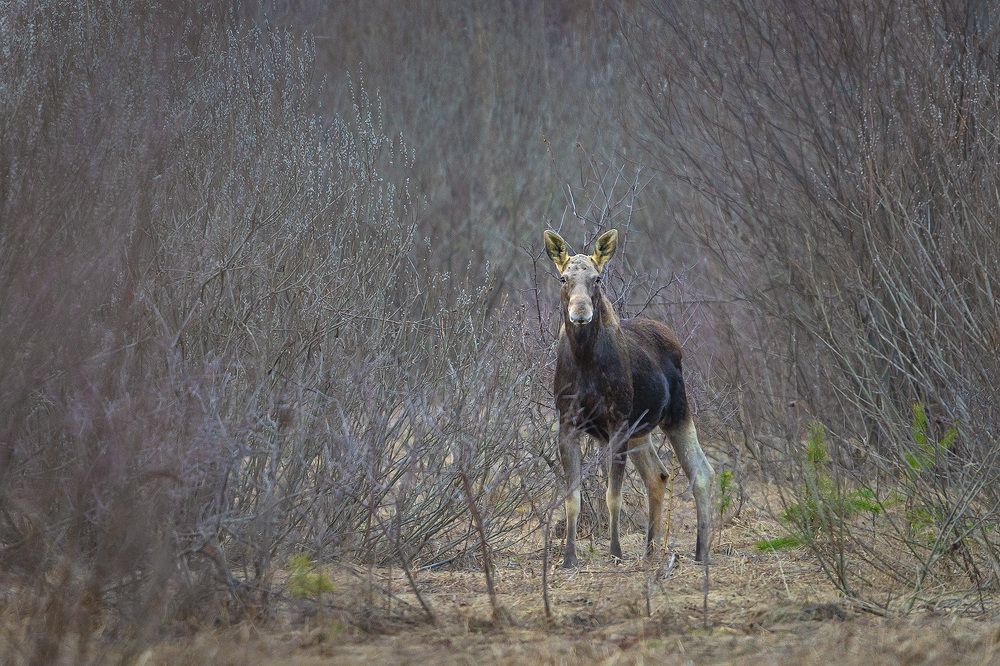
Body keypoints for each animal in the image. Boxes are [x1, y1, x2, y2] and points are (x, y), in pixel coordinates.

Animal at [543, 228, 715, 568]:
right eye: (563, 278)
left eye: (597, 278)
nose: (580, 312)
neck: (584, 360)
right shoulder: (567, 423)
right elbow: (572, 497)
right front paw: (569, 558)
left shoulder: (618, 422)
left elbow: (614, 495)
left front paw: (616, 551)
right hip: (641, 431)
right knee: (658, 475)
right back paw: (650, 550)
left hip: (676, 413)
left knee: (701, 470)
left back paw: (701, 552)